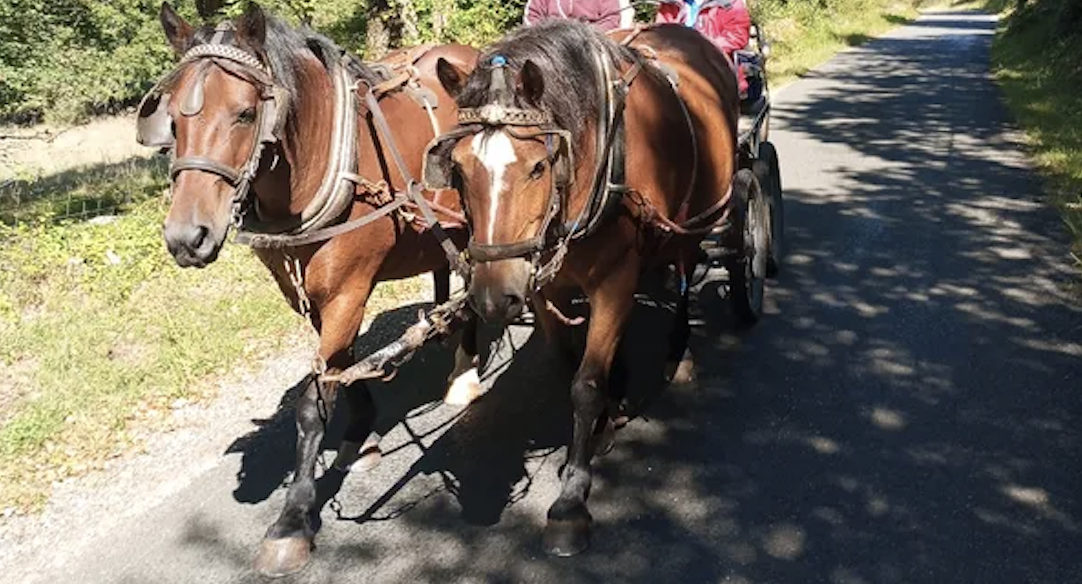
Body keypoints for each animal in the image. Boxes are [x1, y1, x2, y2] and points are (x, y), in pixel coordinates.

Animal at [139, 3, 481, 576]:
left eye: (244, 114)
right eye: (174, 119)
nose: (187, 238)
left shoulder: (348, 291)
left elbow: (311, 402)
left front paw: (293, 519)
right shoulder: (312, 296)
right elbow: (339, 366)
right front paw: (360, 435)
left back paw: (465, 369)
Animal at [427, 19, 744, 555]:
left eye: (537, 166)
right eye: (459, 167)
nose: (492, 297)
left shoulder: (616, 278)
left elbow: (585, 384)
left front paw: (572, 497)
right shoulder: (542, 287)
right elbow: (567, 365)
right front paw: (605, 419)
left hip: (697, 218)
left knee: (684, 273)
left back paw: (678, 353)